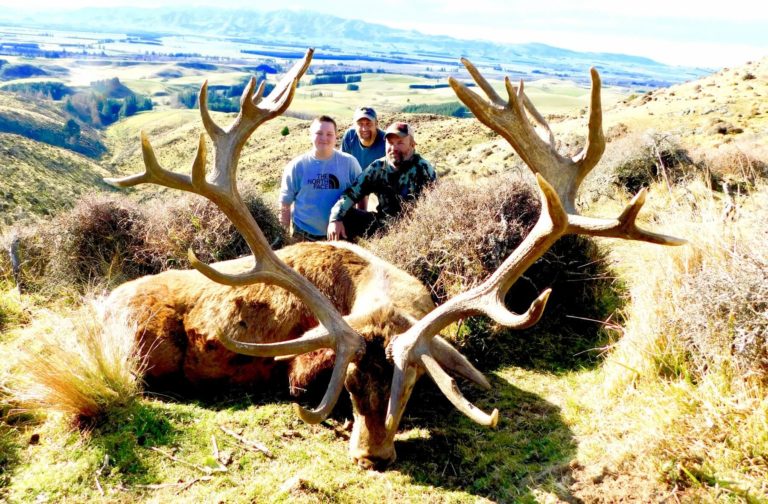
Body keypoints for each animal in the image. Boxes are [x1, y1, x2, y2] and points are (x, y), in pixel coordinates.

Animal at [104, 48, 684, 470]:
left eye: (411, 388)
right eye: (350, 387)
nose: (373, 457)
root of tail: (99, 306)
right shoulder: (301, 364)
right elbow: (301, 384)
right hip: (144, 351)